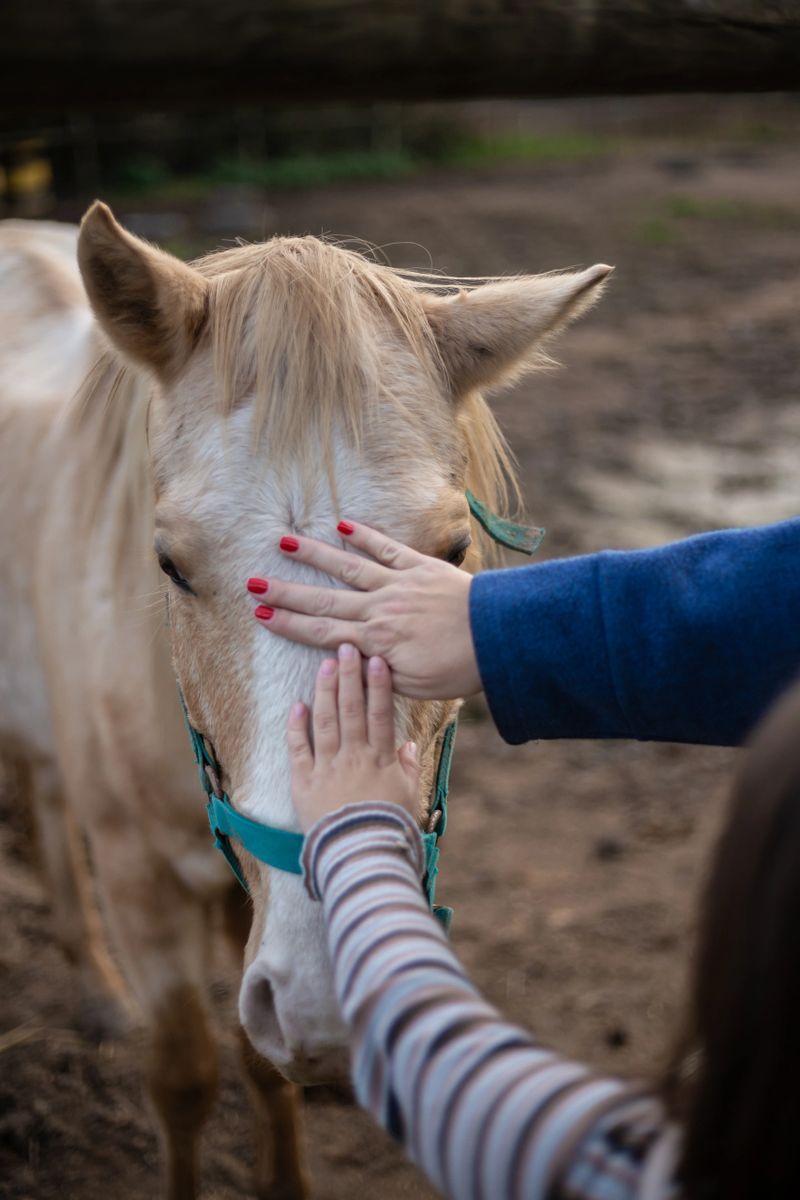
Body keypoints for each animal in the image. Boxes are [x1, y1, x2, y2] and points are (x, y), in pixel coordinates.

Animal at [0, 202, 610, 1199]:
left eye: (451, 553)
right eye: (168, 561)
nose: (334, 1001)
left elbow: (261, 1069)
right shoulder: (137, 877)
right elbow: (184, 1077)